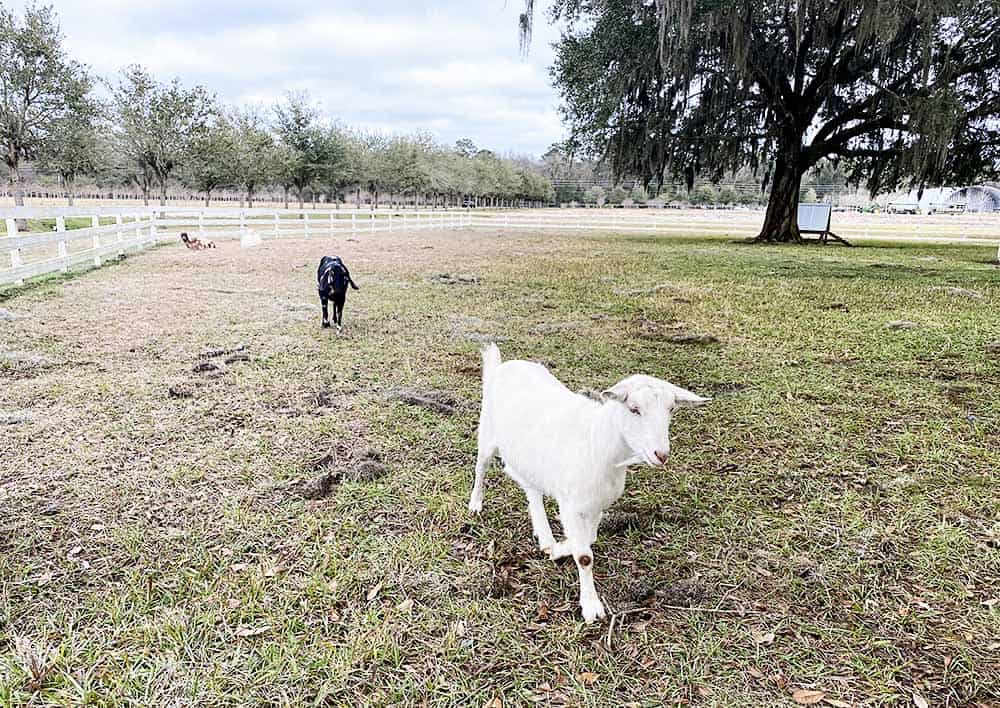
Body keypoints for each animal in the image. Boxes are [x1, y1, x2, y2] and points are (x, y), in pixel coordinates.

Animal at [470, 346, 712, 624]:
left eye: (671, 409)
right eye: (634, 409)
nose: (660, 454)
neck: (598, 441)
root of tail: (503, 365)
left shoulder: (597, 504)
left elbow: (590, 538)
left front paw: (560, 548)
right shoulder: (571, 504)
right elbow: (585, 556)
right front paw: (591, 606)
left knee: (532, 490)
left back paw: (545, 537)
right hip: (487, 433)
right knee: (481, 467)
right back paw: (476, 504)